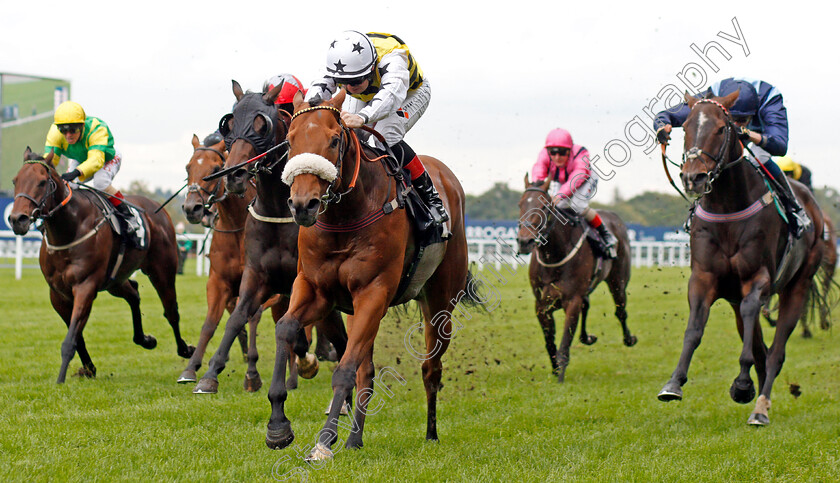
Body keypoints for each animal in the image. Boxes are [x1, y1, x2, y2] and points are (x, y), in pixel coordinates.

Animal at [9, 149, 194, 384]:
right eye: (15, 181)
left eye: (42, 182)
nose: (17, 219)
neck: (69, 230)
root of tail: (157, 209)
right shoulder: (58, 294)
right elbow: (76, 336)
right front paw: (88, 369)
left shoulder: (86, 286)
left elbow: (71, 339)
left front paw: (61, 380)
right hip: (114, 280)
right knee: (133, 293)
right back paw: (145, 339)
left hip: (162, 270)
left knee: (171, 311)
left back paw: (185, 350)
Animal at [192, 80, 346, 398]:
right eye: (229, 124)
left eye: (262, 124)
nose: (235, 175)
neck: (278, 212)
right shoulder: (254, 275)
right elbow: (236, 318)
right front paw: (210, 374)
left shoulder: (299, 282)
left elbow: (298, 329)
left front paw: (305, 362)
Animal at [264, 91, 472, 462]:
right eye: (290, 141)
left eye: (334, 140)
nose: (303, 204)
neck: (345, 216)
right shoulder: (316, 289)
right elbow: (286, 328)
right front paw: (278, 427)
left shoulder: (373, 294)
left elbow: (345, 369)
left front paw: (323, 442)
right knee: (368, 372)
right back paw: (355, 439)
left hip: (440, 303)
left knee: (431, 369)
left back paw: (431, 433)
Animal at [516, 174, 632, 382]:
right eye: (520, 204)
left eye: (544, 206)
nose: (524, 241)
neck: (555, 255)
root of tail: (615, 217)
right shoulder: (541, 305)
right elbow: (550, 342)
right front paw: (555, 369)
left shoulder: (572, 301)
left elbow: (564, 343)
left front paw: (560, 377)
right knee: (588, 306)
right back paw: (587, 337)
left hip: (618, 281)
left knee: (620, 311)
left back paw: (629, 338)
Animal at [656, 92, 828, 426]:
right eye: (685, 128)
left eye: (722, 128)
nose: (693, 177)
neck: (727, 208)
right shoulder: (704, 278)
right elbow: (694, 330)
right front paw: (673, 382)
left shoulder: (757, 278)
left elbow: (754, 328)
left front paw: (743, 384)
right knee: (761, 346)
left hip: (797, 285)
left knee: (775, 351)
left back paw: (761, 405)